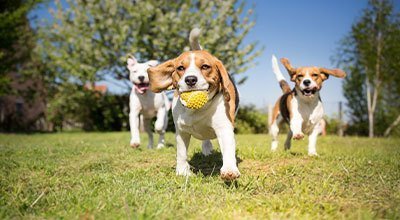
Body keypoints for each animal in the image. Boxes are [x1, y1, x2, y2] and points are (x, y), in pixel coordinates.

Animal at [147, 29, 241, 180]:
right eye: (180, 68)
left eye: (205, 66)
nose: (190, 79)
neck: (197, 110)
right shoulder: (181, 131)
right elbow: (181, 153)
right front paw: (182, 171)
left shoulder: (224, 128)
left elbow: (228, 150)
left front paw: (229, 170)